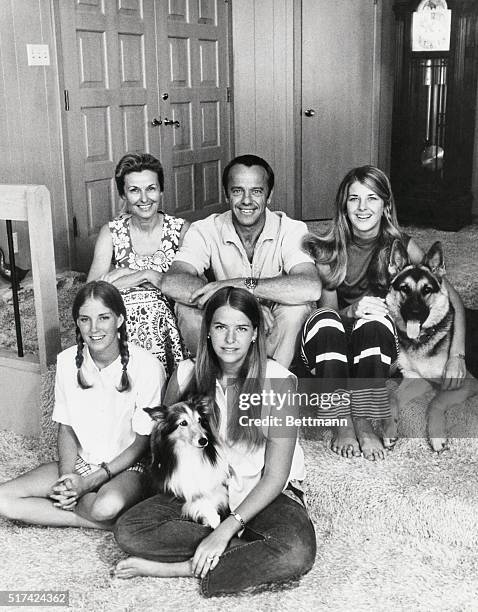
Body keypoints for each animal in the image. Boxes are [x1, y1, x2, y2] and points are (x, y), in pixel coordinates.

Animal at [144, 400, 230, 528]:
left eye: (199, 420)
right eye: (183, 423)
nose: (204, 441)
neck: (189, 451)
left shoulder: (216, 481)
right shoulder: (180, 488)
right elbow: (198, 498)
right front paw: (212, 518)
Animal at [384, 241, 478, 452]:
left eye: (427, 290)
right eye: (404, 288)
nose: (415, 312)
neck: (422, 338)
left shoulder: (466, 383)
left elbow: (435, 401)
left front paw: (436, 436)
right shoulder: (418, 378)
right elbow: (393, 397)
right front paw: (389, 430)